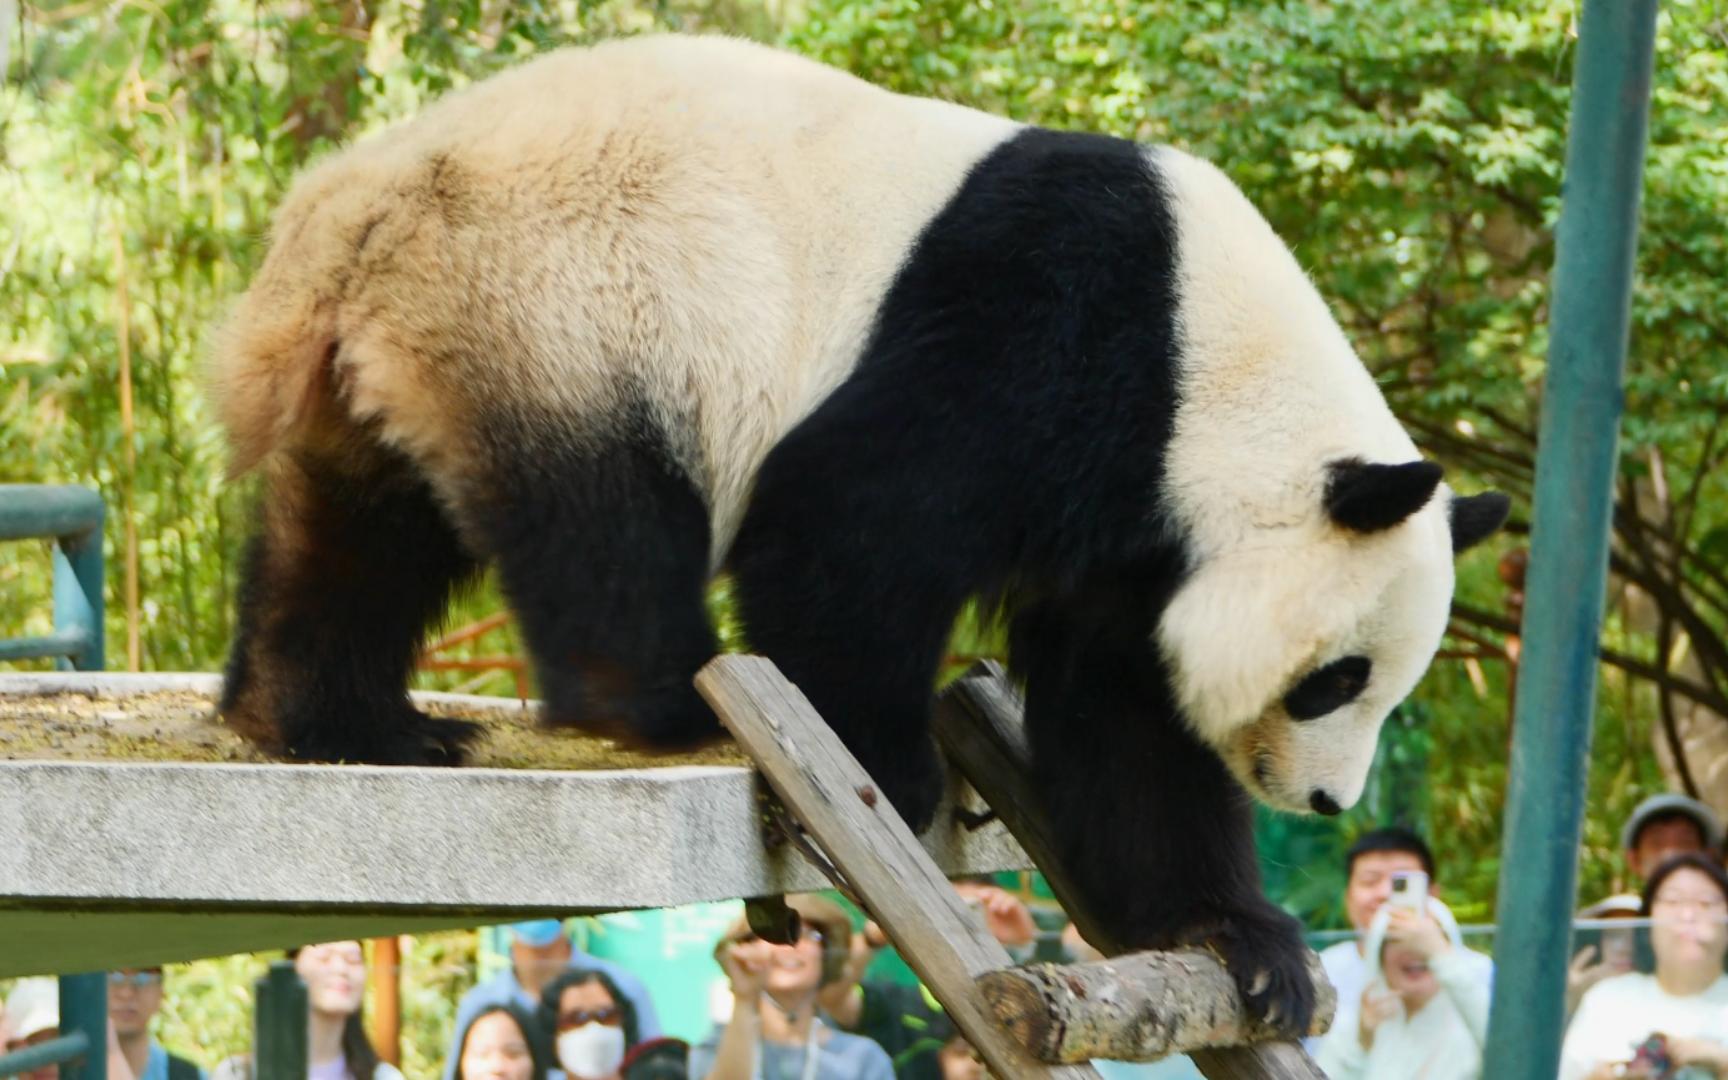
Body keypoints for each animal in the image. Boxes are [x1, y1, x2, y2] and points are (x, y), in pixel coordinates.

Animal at [212, 33, 1513, 1029]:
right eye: (1336, 679)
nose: (1330, 804)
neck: (1213, 369)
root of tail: (340, 213)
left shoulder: (1137, 510)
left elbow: (1129, 710)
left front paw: (1240, 942)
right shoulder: (1052, 331)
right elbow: (850, 515)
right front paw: (886, 766)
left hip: (427, 343)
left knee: (362, 535)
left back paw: (343, 720)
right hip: (563, 304)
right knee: (605, 520)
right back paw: (666, 704)